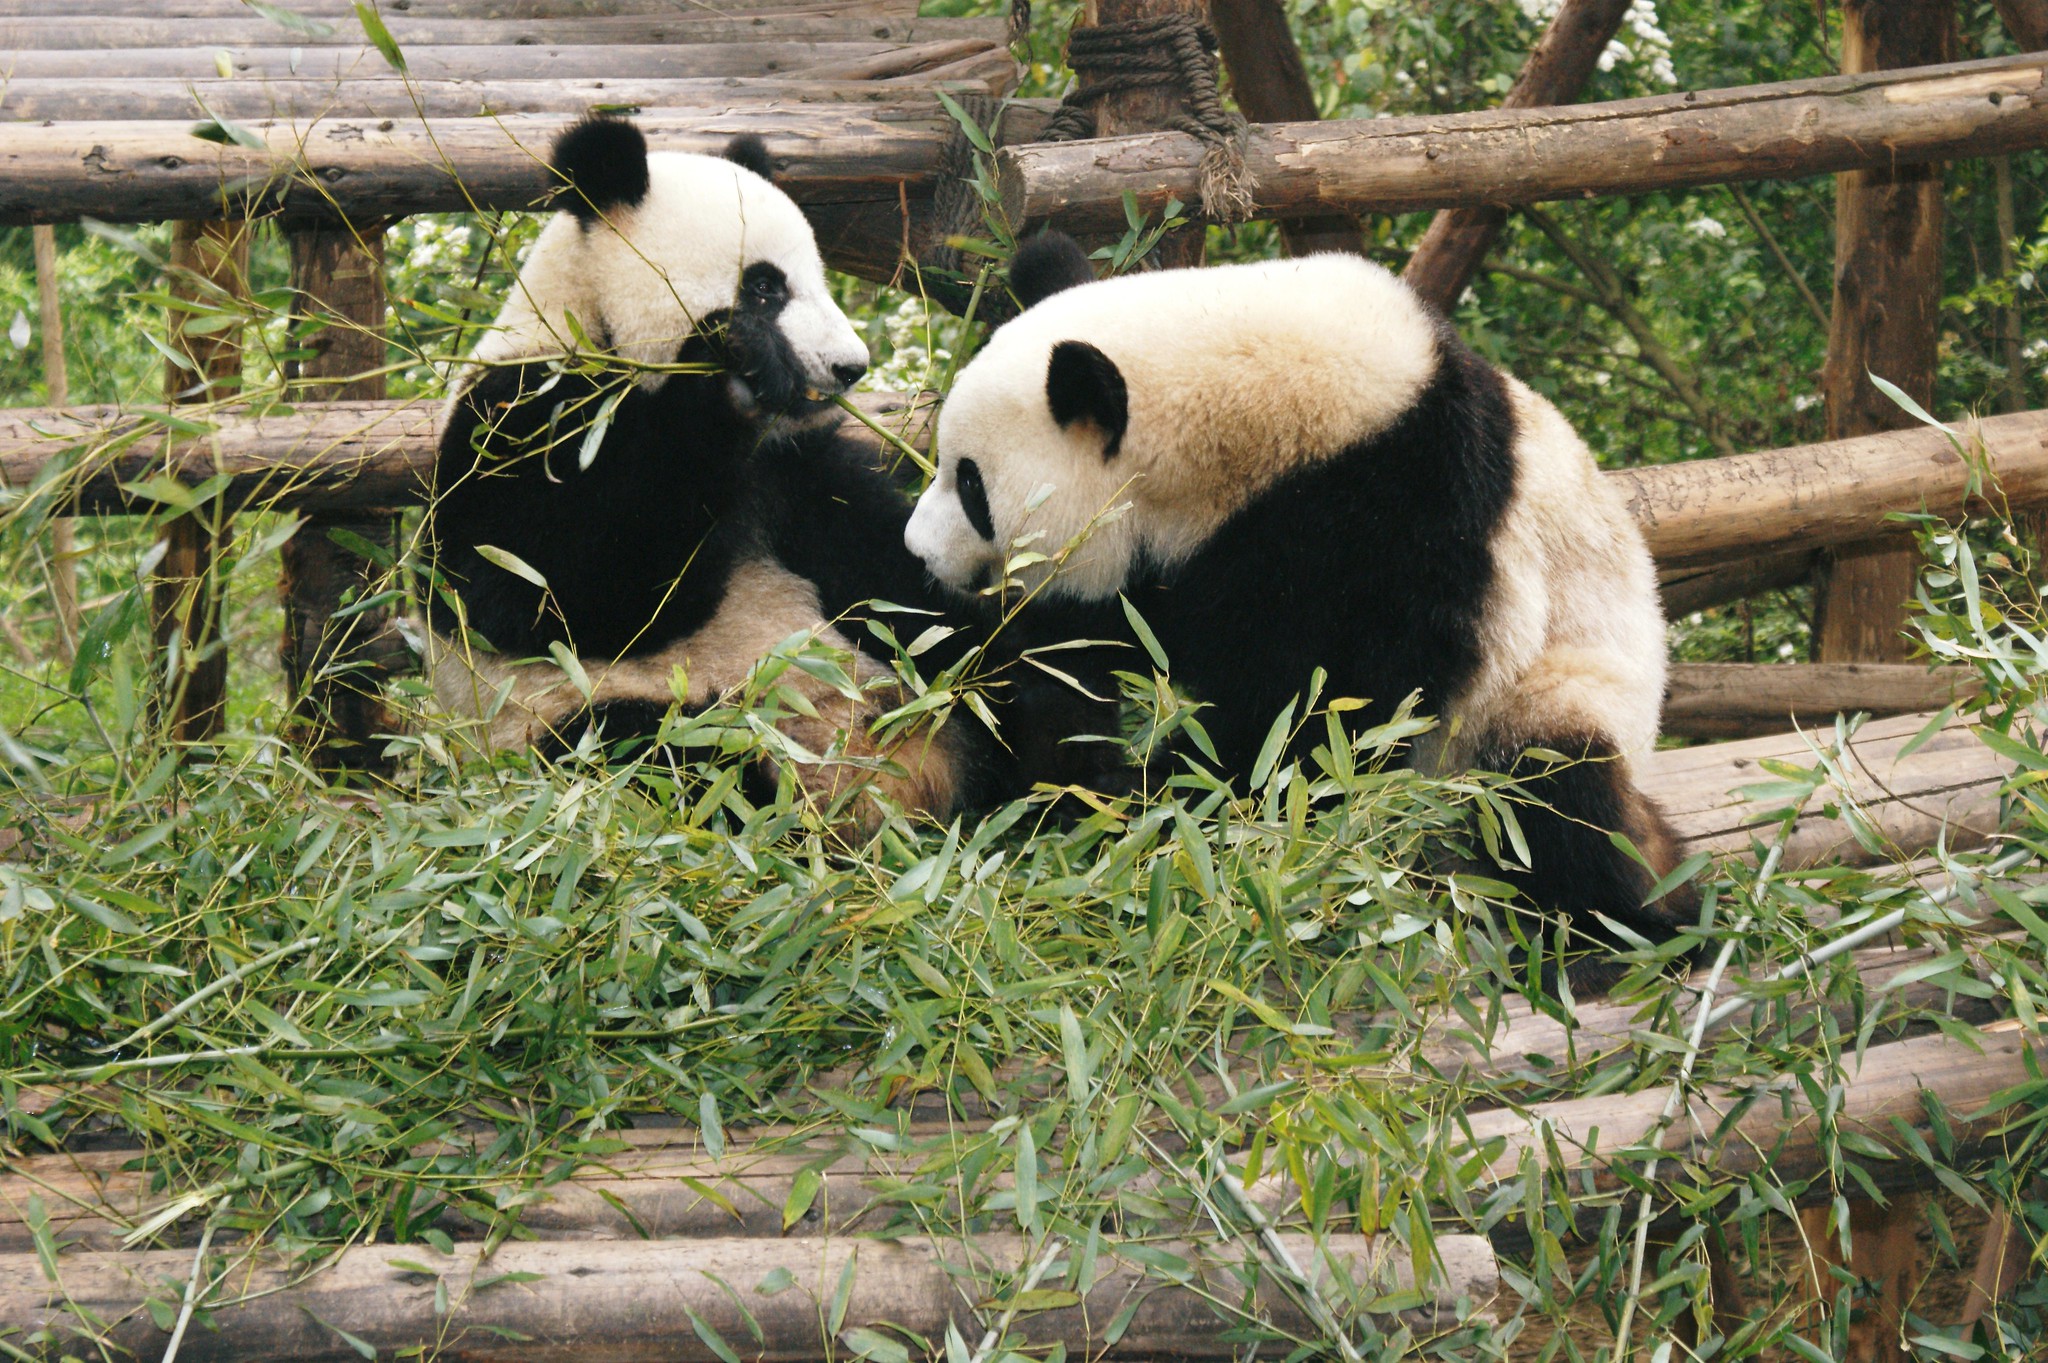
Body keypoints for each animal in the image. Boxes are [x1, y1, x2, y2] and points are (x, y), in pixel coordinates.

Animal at [422, 116, 1049, 828]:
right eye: (766, 286)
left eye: (820, 277)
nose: (850, 367)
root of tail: (888, 786)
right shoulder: (521, 419)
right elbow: (553, 592)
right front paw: (735, 361)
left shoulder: (793, 469)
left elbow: (890, 572)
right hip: (575, 721)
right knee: (646, 757)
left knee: (986, 689)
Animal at [905, 232, 1697, 987]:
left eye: (971, 484)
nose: (919, 550)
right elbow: (1093, 644)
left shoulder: (1396, 512)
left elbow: (1330, 706)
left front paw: (1172, 795)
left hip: (1559, 689)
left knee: (1553, 795)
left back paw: (1616, 933)